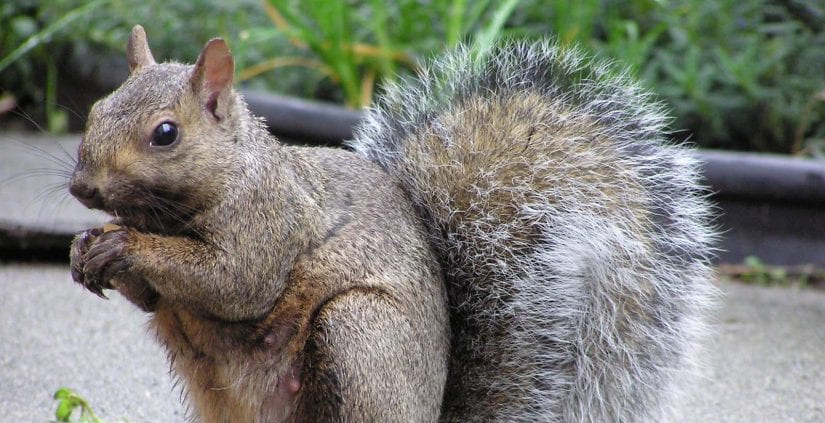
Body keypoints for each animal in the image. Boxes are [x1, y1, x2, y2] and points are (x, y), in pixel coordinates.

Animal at [69, 24, 716, 422]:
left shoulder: (269, 220)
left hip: (360, 333)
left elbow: (236, 283)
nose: (81, 188)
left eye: (166, 133)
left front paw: (123, 244)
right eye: (96, 108)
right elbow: (156, 298)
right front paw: (85, 248)